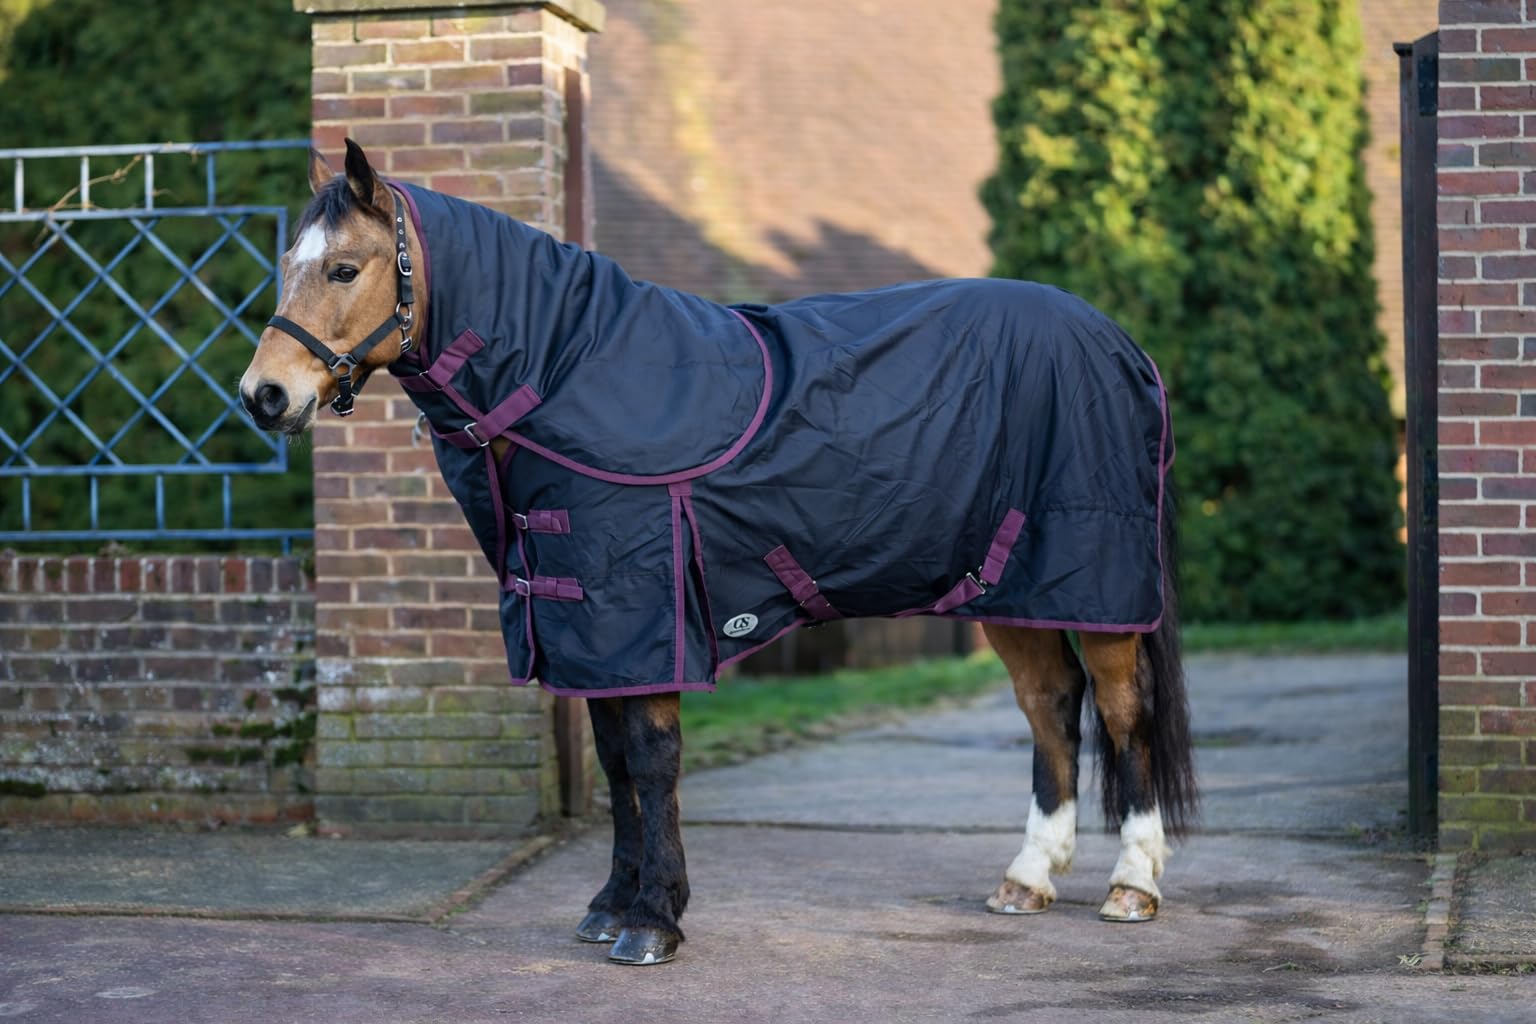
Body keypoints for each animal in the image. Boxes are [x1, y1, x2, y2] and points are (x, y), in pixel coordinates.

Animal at [240, 140, 1196, 966]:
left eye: (343, 268)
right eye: (289, 263)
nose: (264, 396)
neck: (569, 371)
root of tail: (1122, 345)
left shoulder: (644, 615)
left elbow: (652, 759)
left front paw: (653, 922)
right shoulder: (586, 626)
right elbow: (616, 760)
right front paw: (611, 906)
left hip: (1097, 585)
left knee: (1122, 711)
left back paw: (1133, 885)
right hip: (1006, 587)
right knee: (1049, 704)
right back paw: (1027, 879)